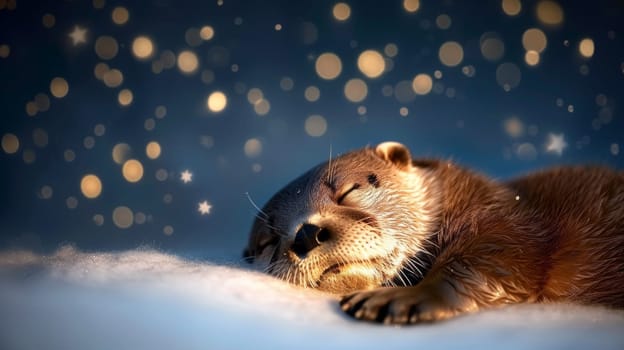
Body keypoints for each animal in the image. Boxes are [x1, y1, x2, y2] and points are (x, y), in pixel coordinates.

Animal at [243, 142, 624, 322]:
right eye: (268, 241)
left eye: (347, 191)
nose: (306, 234)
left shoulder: (508, 223)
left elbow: (492, 261)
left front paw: (404, 297)